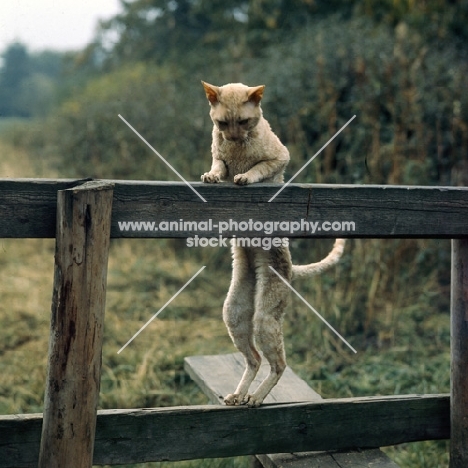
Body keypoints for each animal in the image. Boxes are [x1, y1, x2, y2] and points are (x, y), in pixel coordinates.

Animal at [199, 82, 346, 408]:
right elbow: (218, 165)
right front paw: (212, 176)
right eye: (222, 124)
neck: (237, 148)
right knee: (253, 358)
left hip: (266, 316)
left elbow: (258, 169)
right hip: (234, 312)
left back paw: (255, 398)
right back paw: (239, 395)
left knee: (278, 363)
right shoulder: (219, 154)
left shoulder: (280, 158)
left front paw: (245, 176)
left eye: (243, 122)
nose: (233, 137)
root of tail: (292, 268)